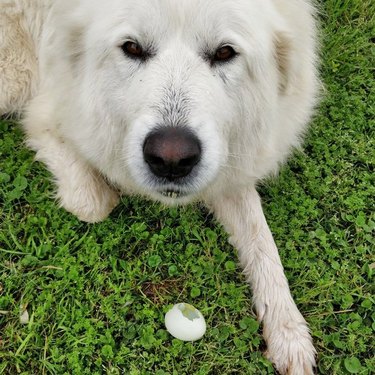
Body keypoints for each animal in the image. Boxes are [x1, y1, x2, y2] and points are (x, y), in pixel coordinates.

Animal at [1, 0, 320, 374]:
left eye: (224, 53)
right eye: (132, 48)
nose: (170, 159)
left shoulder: (229, 168)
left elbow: (262, 241)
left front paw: (288, 331)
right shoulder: (53, 98)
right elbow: (91, 200)